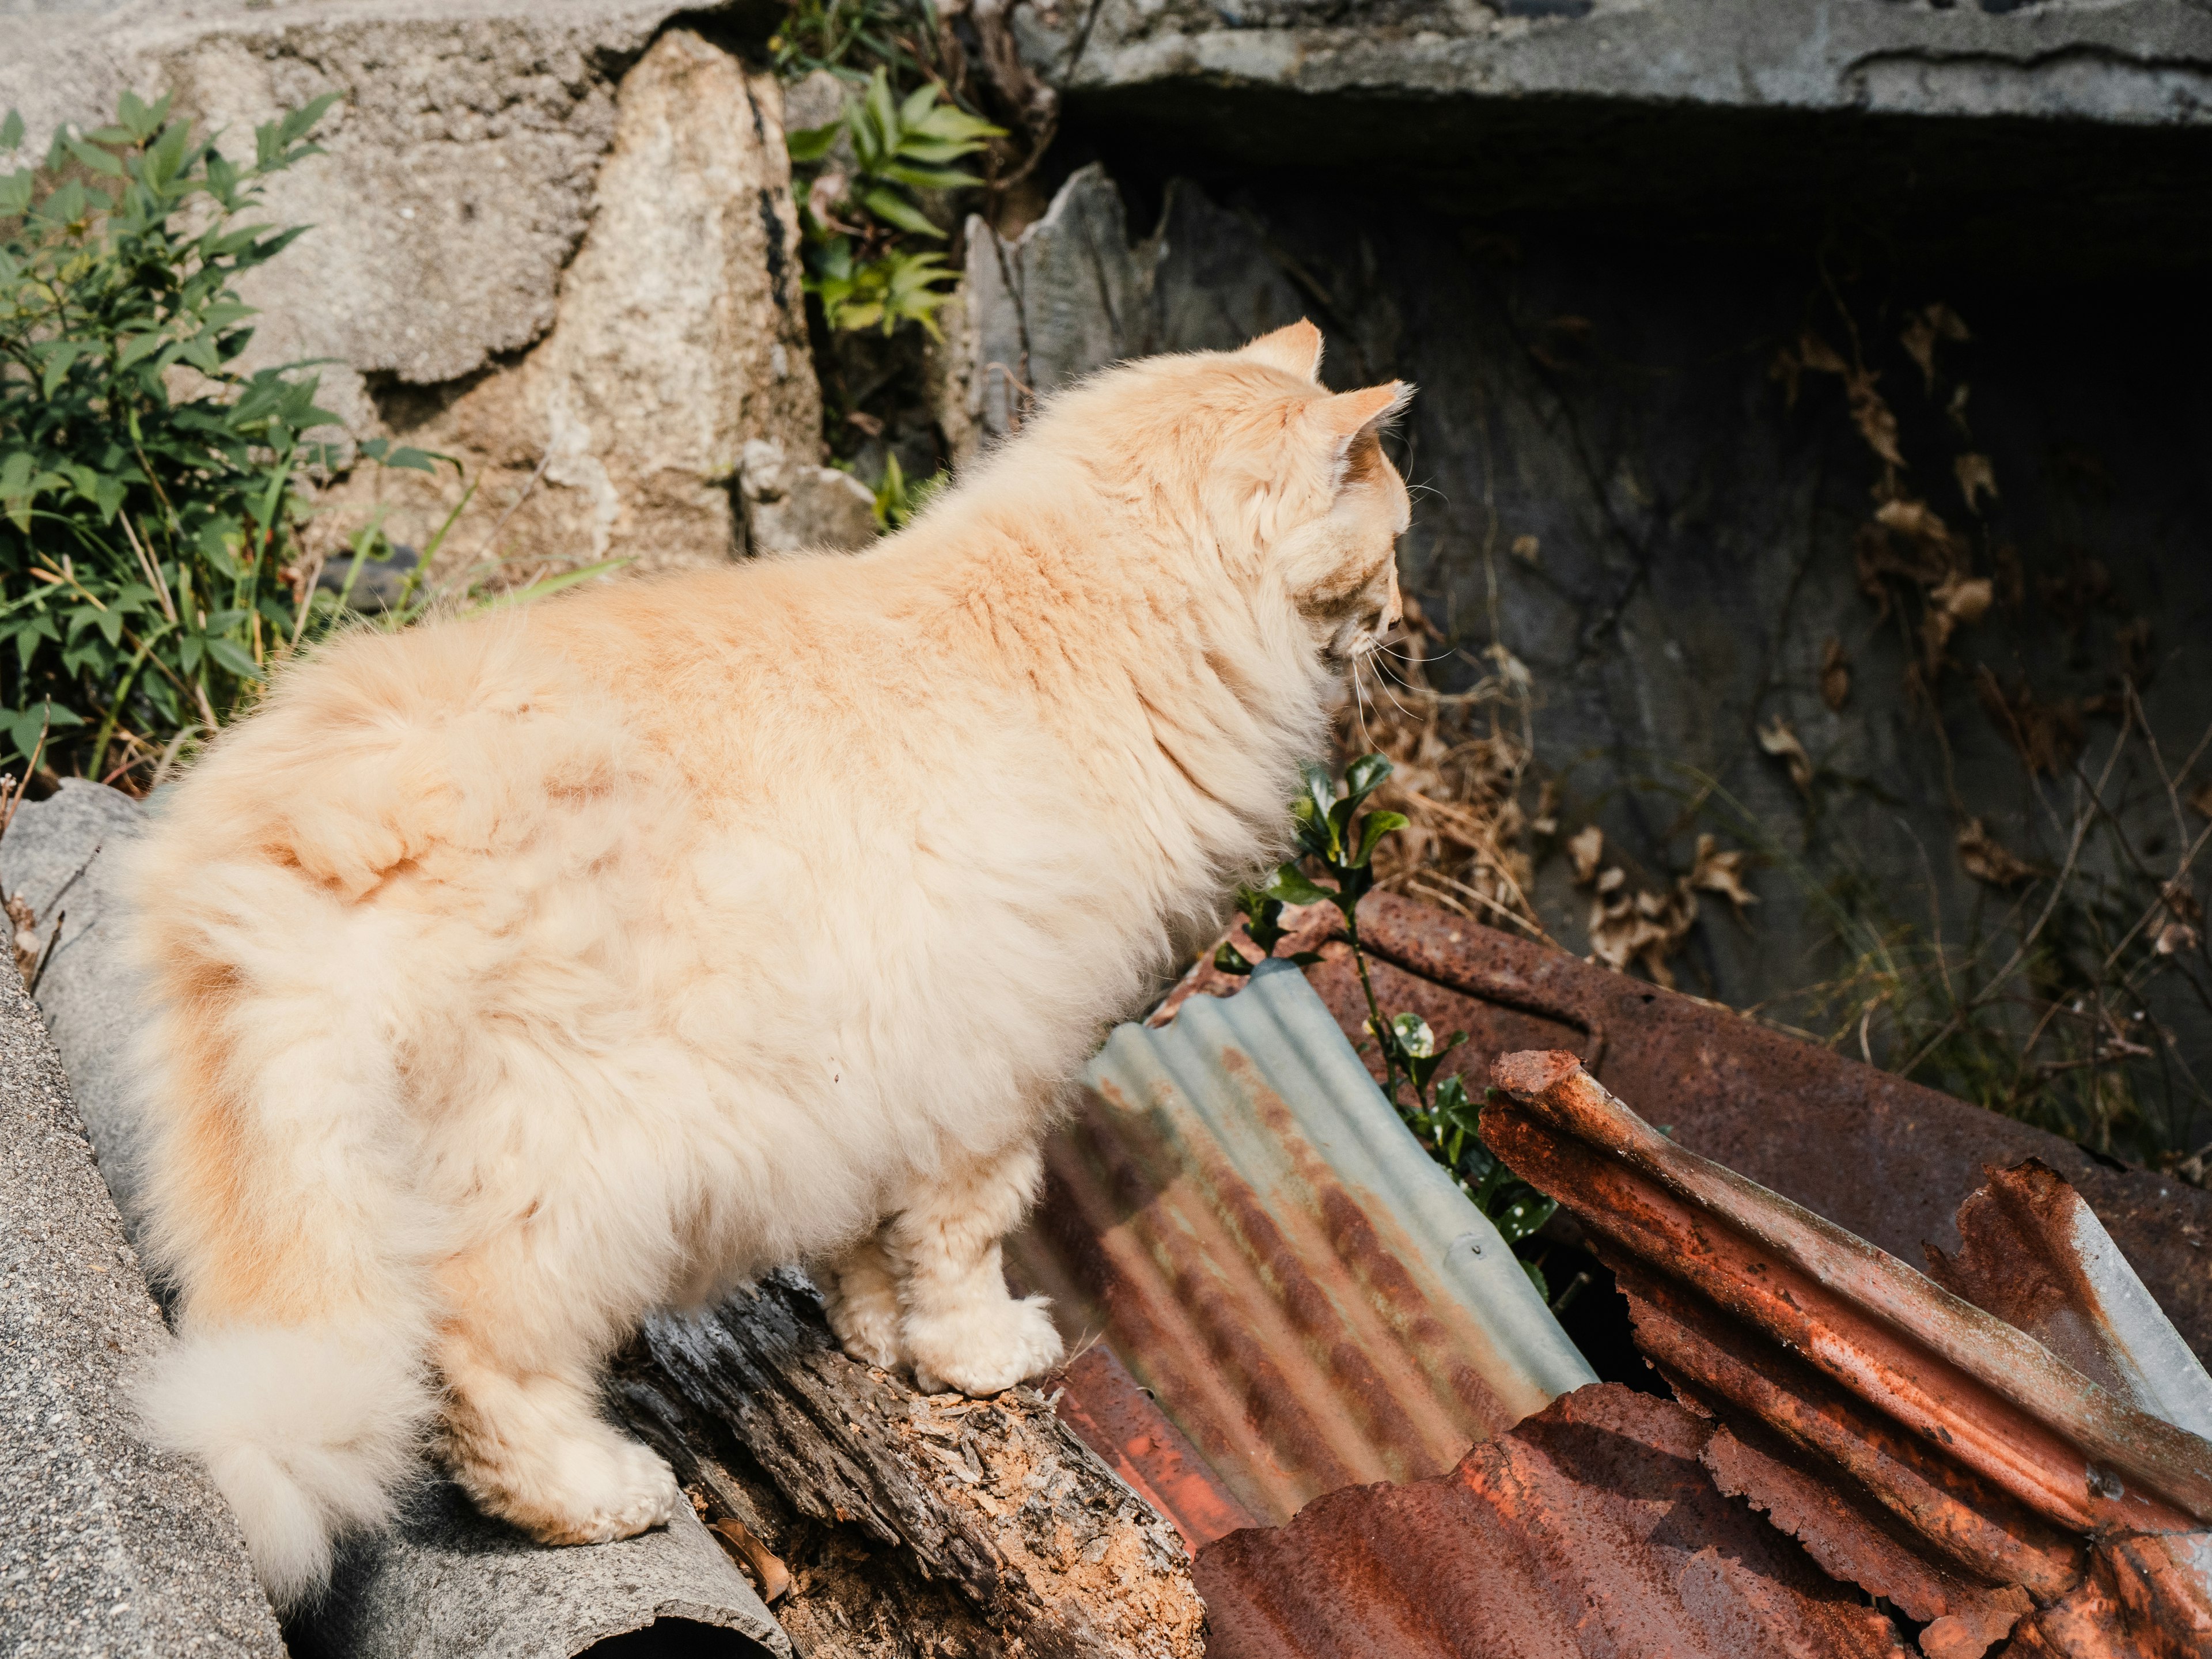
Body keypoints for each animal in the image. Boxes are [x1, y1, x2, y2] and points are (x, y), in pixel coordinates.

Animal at [121, 320, 1407, 1610]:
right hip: (578, 1162)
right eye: (1393, 545)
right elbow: (966, 1242)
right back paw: (595, 1495)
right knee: (479, 1350)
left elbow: (872, 1245)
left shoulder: (885, 1068)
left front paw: (877, 1343)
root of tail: (315, 809)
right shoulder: (1007, 1065)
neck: (1083, 628)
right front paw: (981, 1356)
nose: (1402, 619)